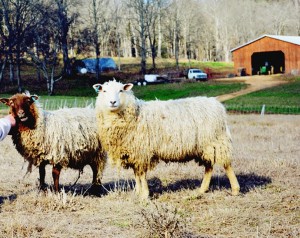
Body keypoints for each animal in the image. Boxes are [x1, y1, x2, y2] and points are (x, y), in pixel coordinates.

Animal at [93, 80, 239, 199]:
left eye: (121, 90)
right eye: (104, 91)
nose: (112, 102)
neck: (134, 114)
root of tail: (216, 104)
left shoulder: (142, 151)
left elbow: (141, 174)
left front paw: (144, 194)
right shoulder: (134, 152)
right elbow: (136, 174)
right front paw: (138, 192)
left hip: (216, 141)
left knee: (226, 164)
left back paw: (235, 190)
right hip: (204, 146)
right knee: (209, 166)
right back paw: (202, 190)